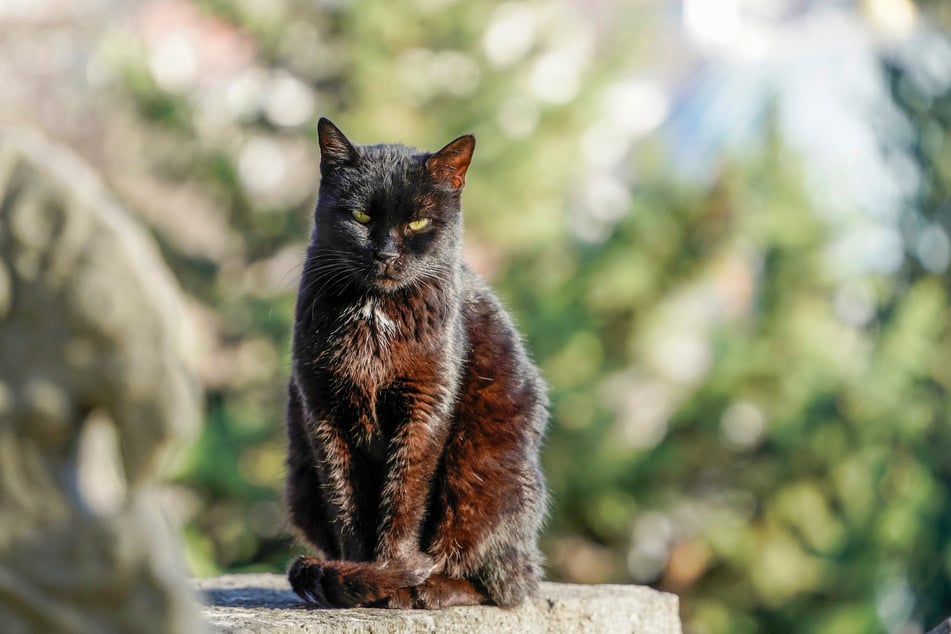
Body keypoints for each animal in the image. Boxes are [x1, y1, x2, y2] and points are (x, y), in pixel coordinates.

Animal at [286, 118, 548, 608]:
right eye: (361, 217)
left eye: (418, 222)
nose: (387, 254)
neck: (374, 313)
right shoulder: (323, 412)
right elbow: (346, 501)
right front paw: (364, 575)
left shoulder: (424, 409)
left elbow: (404, 496)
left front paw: (393, 574)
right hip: (300, 485)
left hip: (478, 476)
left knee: (497, 583)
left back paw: (430, 587)